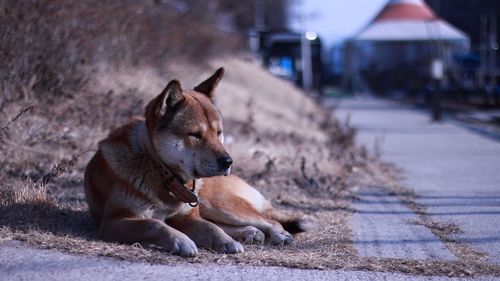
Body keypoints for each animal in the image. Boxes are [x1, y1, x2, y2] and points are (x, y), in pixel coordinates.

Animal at [84, 68, 310, 256]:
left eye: (218, 133)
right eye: (195, 135)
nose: (228, 162)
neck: (162, 173)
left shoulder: (187, 217)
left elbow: (209, 226)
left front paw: (223, 241)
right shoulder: (114, 221)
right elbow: (153, 224)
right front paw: (182, 240)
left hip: (217, 204)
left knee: (270, 221)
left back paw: (273, 234)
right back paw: (249, 232)